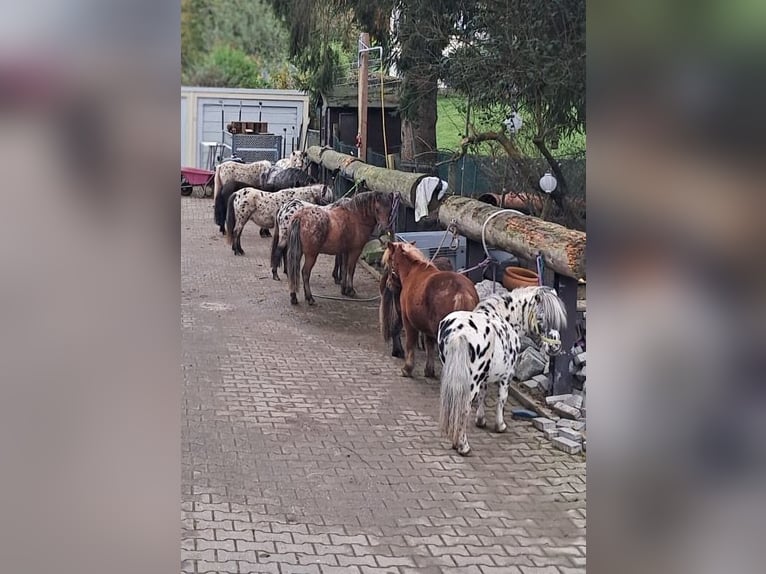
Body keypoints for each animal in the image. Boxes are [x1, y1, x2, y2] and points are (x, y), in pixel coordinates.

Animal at [384, 242, 480, 380]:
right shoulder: (427, 329)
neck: (411, 272)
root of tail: (462, 291)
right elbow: (429, 346)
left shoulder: (408, 321)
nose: (388, 284)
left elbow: (410, 344)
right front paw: (429, 371)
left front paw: (407, 369)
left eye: (389, 261)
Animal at [438, 288, 568, 460]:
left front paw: (481, 421)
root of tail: (459, 334)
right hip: (471, 383)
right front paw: (500, 425)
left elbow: (483, 396)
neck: (504, 316)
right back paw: (463, 446)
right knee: (464, 409)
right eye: (541, 317)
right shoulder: (506, 377)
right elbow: (502, 399)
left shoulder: (484, 378)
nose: (555, 348)